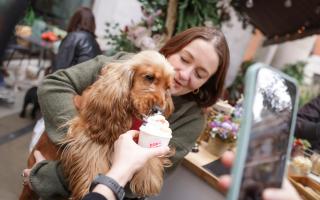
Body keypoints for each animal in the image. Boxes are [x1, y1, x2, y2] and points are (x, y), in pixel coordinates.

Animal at [20, 50, 175, 200]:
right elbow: (93, 159)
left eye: (167, 88)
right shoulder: (89, 131)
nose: (158, 110)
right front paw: (88, 188)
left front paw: (148, 179)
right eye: (149, 77)